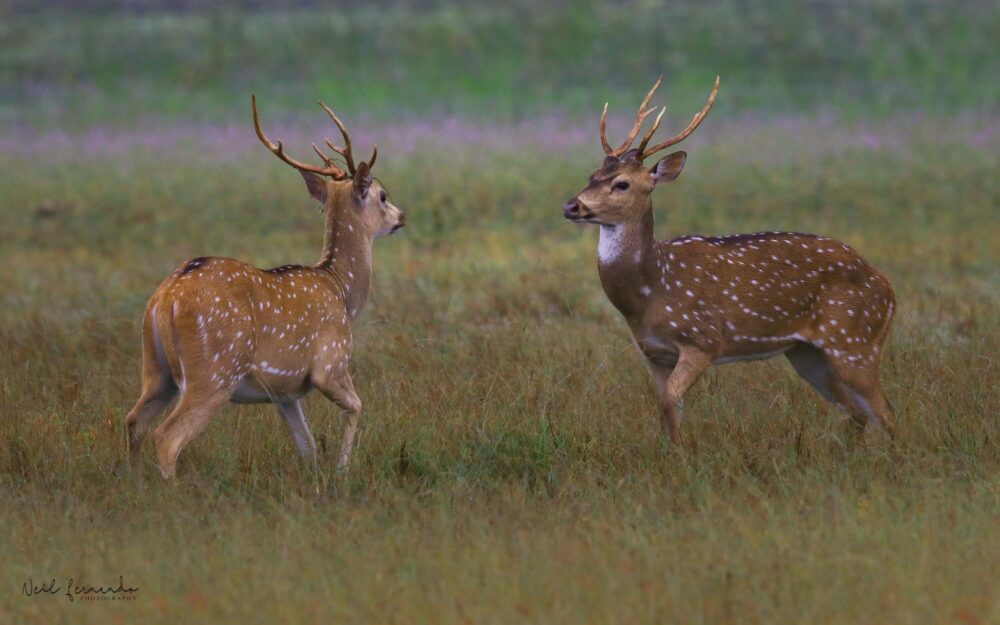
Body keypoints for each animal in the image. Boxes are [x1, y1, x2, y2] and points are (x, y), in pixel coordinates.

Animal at [123, 96, 404, 478]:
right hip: (213, 370)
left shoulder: (285, 392)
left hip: (155, 368)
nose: (402, 217)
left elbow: (307, 446)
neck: (341, 292)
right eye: (383, 195)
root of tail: (167, 297)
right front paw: (342, 470)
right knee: (167, 437)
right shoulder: (331, 363)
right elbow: (357, 406)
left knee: (134, 421)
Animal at [564, 75, 900, 442]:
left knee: (886, 412)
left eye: (622, 184)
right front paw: (670, 450)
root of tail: (886, 287)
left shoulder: (703, 339)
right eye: (591, 176)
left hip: (855, 339)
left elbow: (669, 401)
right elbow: (665, 410)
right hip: (807, 353)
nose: (572, 206)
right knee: (858, 412)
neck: (650, 289)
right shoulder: (653, 352)